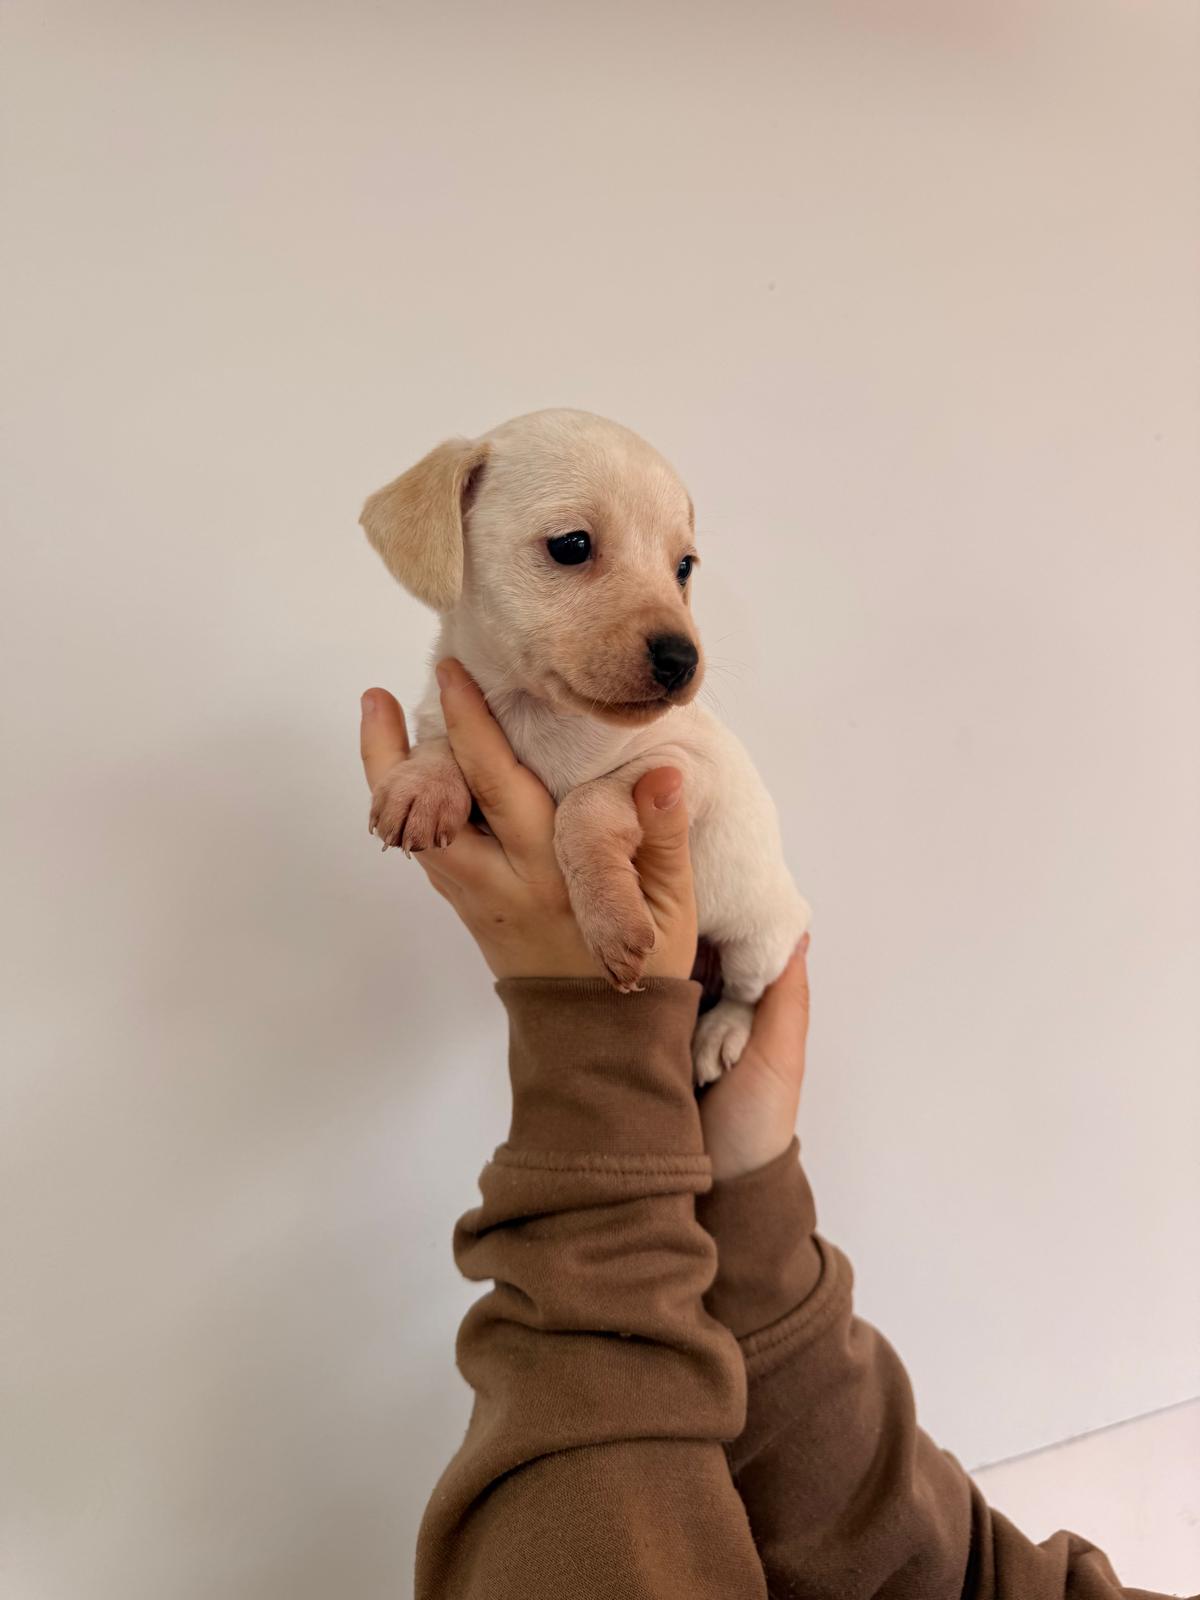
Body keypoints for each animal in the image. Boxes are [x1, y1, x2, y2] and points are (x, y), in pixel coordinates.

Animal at [359, 408, 809, 1083]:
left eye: (684, 568)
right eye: (572, 545)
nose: (683, 660)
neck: (538, 714)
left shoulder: (685, 765)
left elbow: (585, 805)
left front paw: (612, 920)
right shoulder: (449, 706)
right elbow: (439, 742)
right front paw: (423, 786)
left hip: (758, 939)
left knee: (746, 993)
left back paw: (719, 1034)